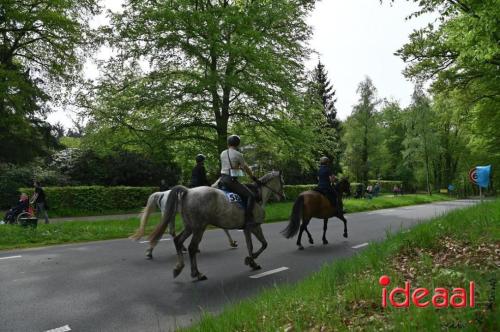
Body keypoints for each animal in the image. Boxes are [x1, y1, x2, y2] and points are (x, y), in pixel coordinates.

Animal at [146, 171, 284, 280]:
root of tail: (188, 191)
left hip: (190, 227)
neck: (257, 195)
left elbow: (256, 245)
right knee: (191, 247)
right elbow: (260, 245)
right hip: (199, 228)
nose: (283, 196)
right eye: (282, 182)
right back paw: (197, 273)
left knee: (178, 240)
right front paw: (251, 259)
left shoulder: (248, 229)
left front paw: (252, 262)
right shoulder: (254, 226)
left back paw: (178, 267)